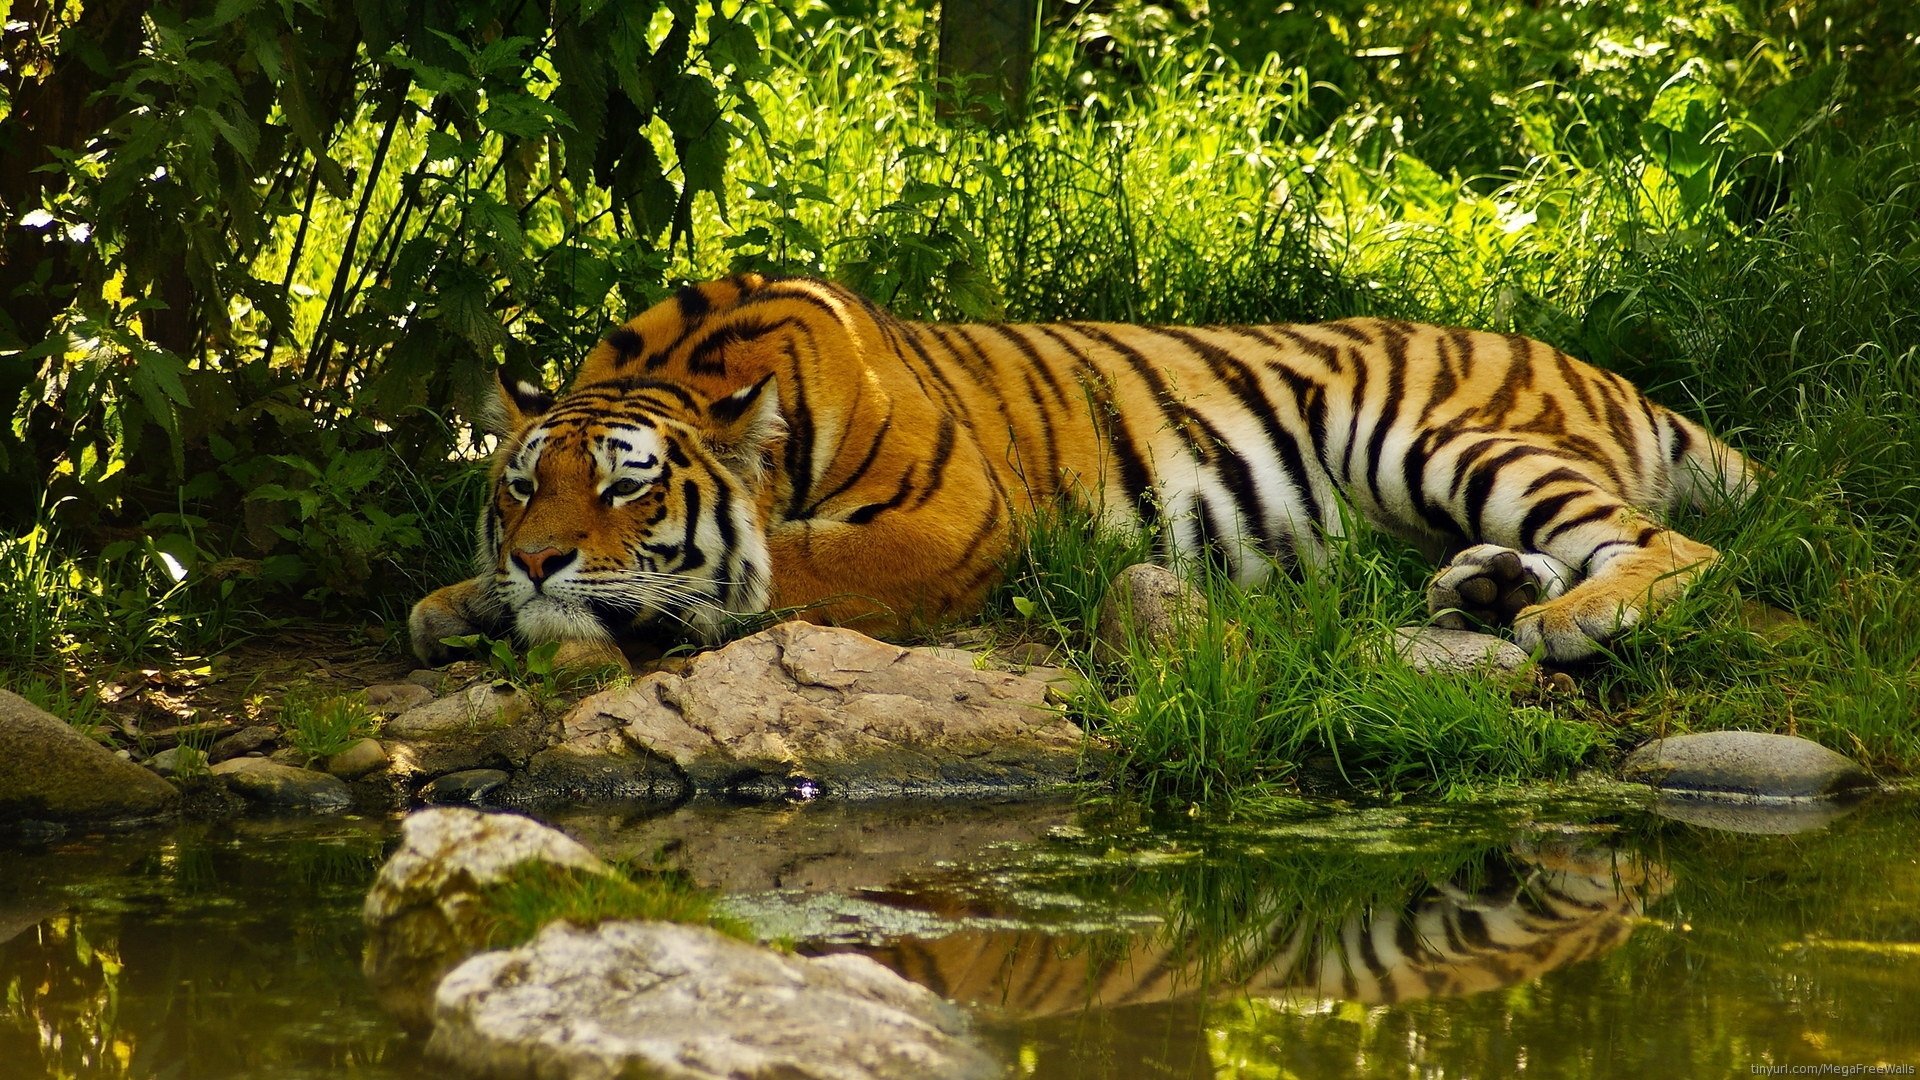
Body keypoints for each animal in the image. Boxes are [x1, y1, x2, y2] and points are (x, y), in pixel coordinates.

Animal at [408, 272, 1754, 667]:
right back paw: (1487, 590)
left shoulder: (951, 520)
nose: (539, 560)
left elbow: (781, 566)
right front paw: (461, 600)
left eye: (628, 486)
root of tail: (1600, 369)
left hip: (1435, 435)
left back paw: (1569, 620)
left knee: (1673, 545)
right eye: (521, 484)